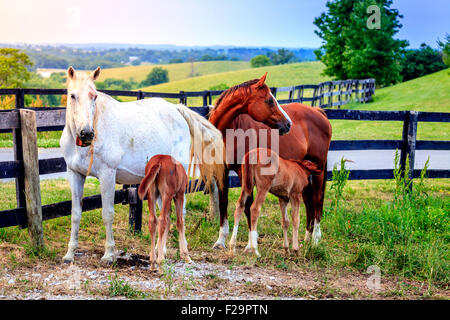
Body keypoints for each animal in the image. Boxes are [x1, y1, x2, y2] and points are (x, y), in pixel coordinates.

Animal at [62, 66, 225, 264]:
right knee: (165, 215)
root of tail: (177, 110)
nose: (86, 133)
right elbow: (75, 214)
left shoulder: (107, 174)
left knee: (181, 213)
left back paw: (182, 254)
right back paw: (159, 253)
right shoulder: (75, 174)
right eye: (72, 95)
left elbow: (107, 214)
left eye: (94, 96)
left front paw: (109, 255)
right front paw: (69, 254)